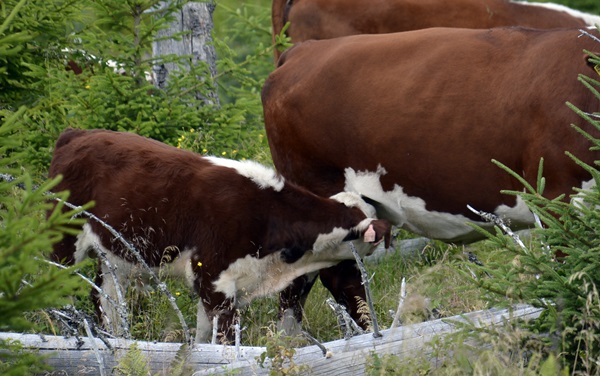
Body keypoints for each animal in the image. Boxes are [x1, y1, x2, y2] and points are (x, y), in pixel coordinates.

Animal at [49, 128, 392, 342]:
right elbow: (224, 342)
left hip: (113, 257)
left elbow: (204, 341)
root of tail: (77, 134)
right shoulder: (215, 281)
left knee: (104, 300)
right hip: (61, 241)